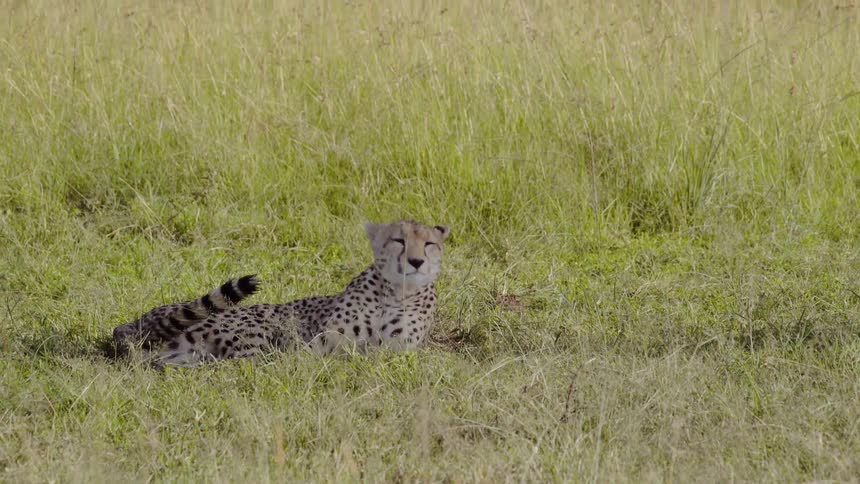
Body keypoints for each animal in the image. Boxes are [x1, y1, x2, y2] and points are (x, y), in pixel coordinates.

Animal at [112, 220, 451, 367]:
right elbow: (313, 352)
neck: (394, 291)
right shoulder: (324, 339)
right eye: (398, 240)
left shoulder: (397, 349)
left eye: (429, 244)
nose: (416, 261)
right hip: (252, 335)